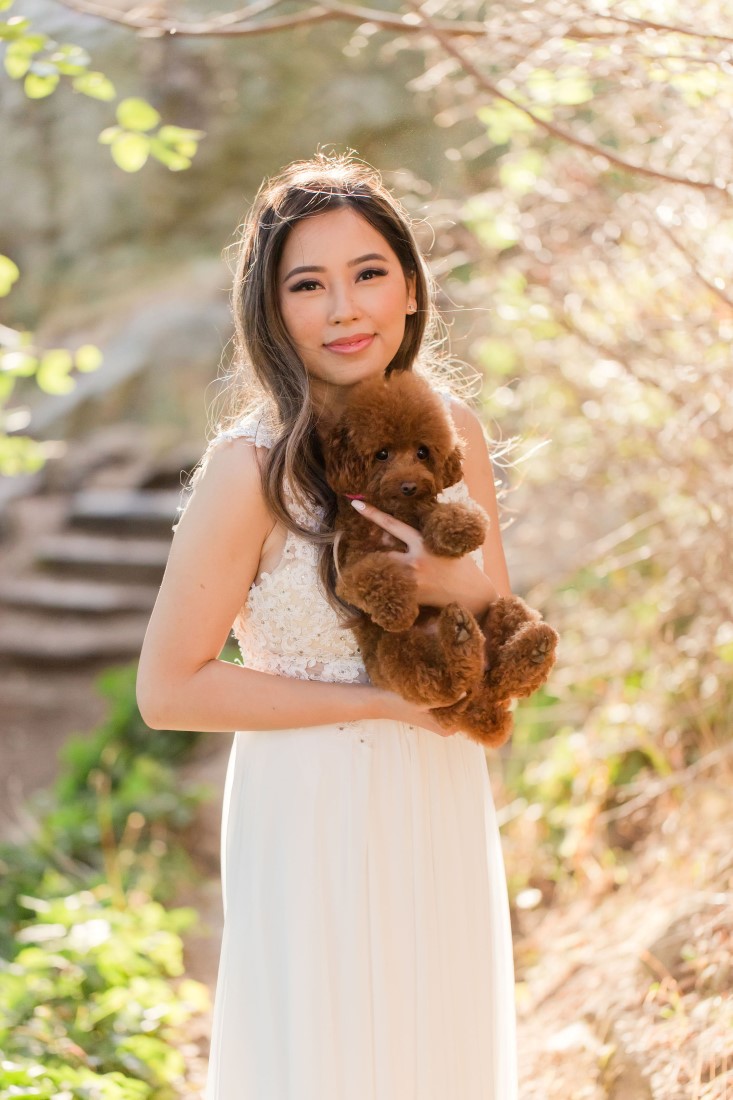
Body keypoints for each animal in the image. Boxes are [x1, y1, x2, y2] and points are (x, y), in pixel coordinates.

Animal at [316, 371, 556, 748]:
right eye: (382, 454)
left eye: (422, 452)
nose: (410, 486)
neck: (395, 513)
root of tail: (479, 704)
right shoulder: (351, 568)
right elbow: (375, 573)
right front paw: (397, 610)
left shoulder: (426, 510)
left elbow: (451, 513)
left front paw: (461, 530)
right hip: (398, 656)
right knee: (443, 684)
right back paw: (459, 640)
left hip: (502, 610)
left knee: (502, 672)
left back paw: (531, 651)